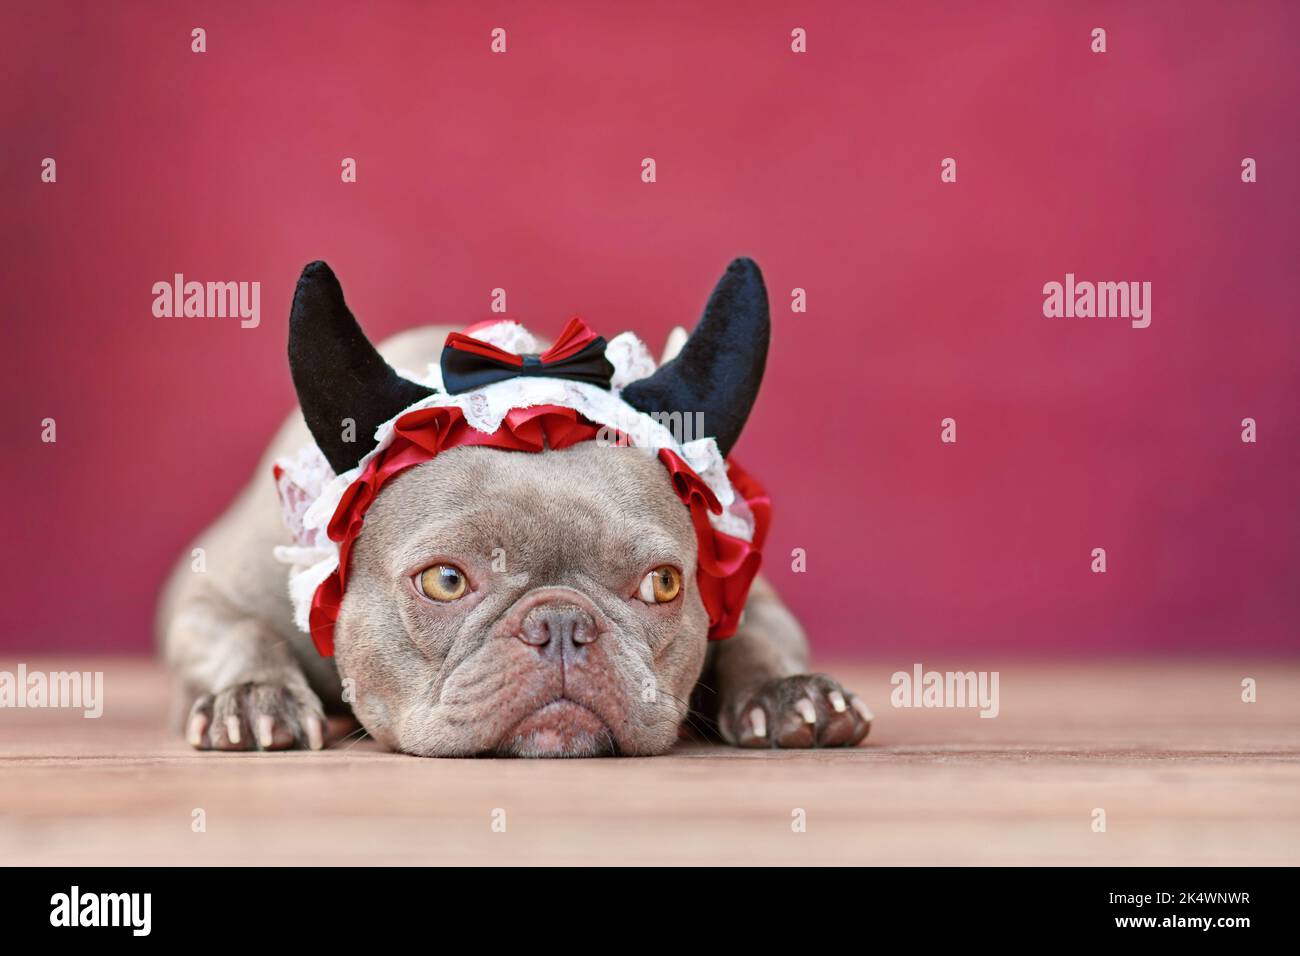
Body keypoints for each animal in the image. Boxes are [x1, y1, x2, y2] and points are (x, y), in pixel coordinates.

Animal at [159, 260, 873, 754]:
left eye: (664, 585)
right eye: (446, 581)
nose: (561, 624)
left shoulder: (746, 593)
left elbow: (762, 634)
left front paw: (790, 694)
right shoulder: (206, 599)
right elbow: (241, 633)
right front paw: (253, 699)